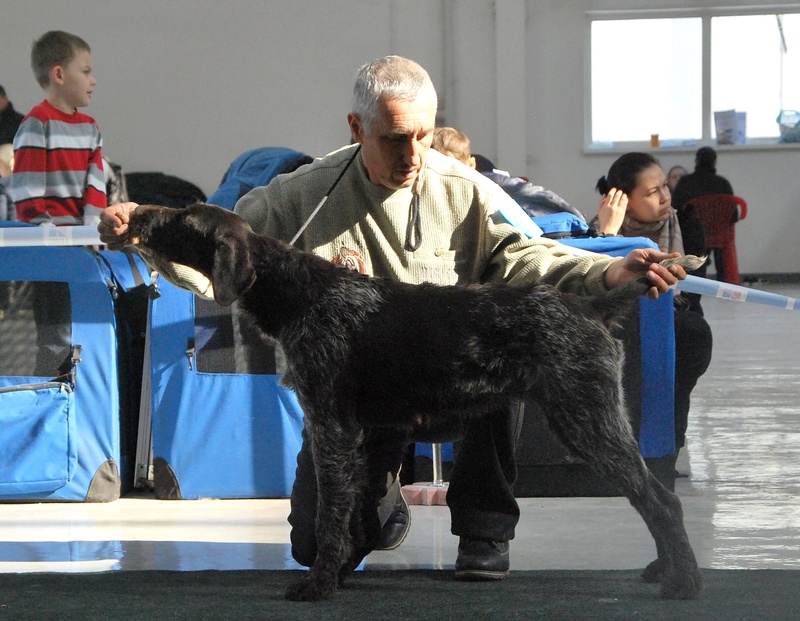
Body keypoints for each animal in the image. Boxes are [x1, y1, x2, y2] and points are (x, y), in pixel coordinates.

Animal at [125, 202, 700, 600]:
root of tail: (588, 307)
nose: (141, 214)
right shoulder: (351, 434)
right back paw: (665, 569)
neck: (300, 292)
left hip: (587, 419)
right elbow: (352, 513)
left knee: (661, 500)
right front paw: (342, 570)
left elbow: (330, 516)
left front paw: (319, 585)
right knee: (650, 499)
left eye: (182, 218)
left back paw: (684, 582)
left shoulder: (331, 425)